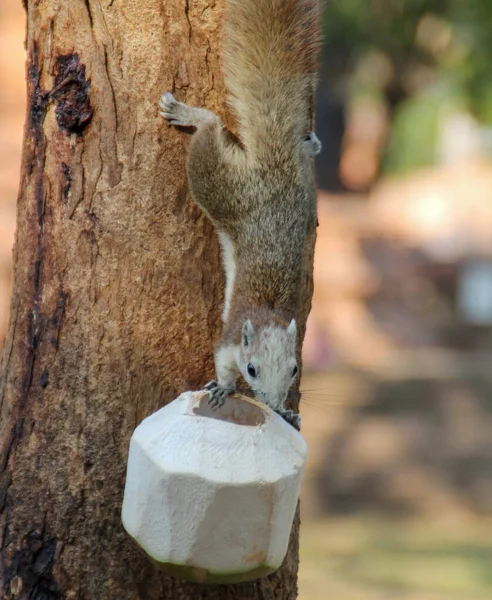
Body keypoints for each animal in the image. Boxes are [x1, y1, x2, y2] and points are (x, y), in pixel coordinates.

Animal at [160, 0, 320, 432]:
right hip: (217, 185)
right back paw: (189, 113)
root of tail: (273, 165)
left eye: (295, 369)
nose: (275, 402)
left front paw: (286, 414)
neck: (266, 315)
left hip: (305, 192)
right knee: (211, 128)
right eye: (252, 369)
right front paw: (223, 388)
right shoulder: (230, 339)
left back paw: (310, 144)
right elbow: (220, 362)